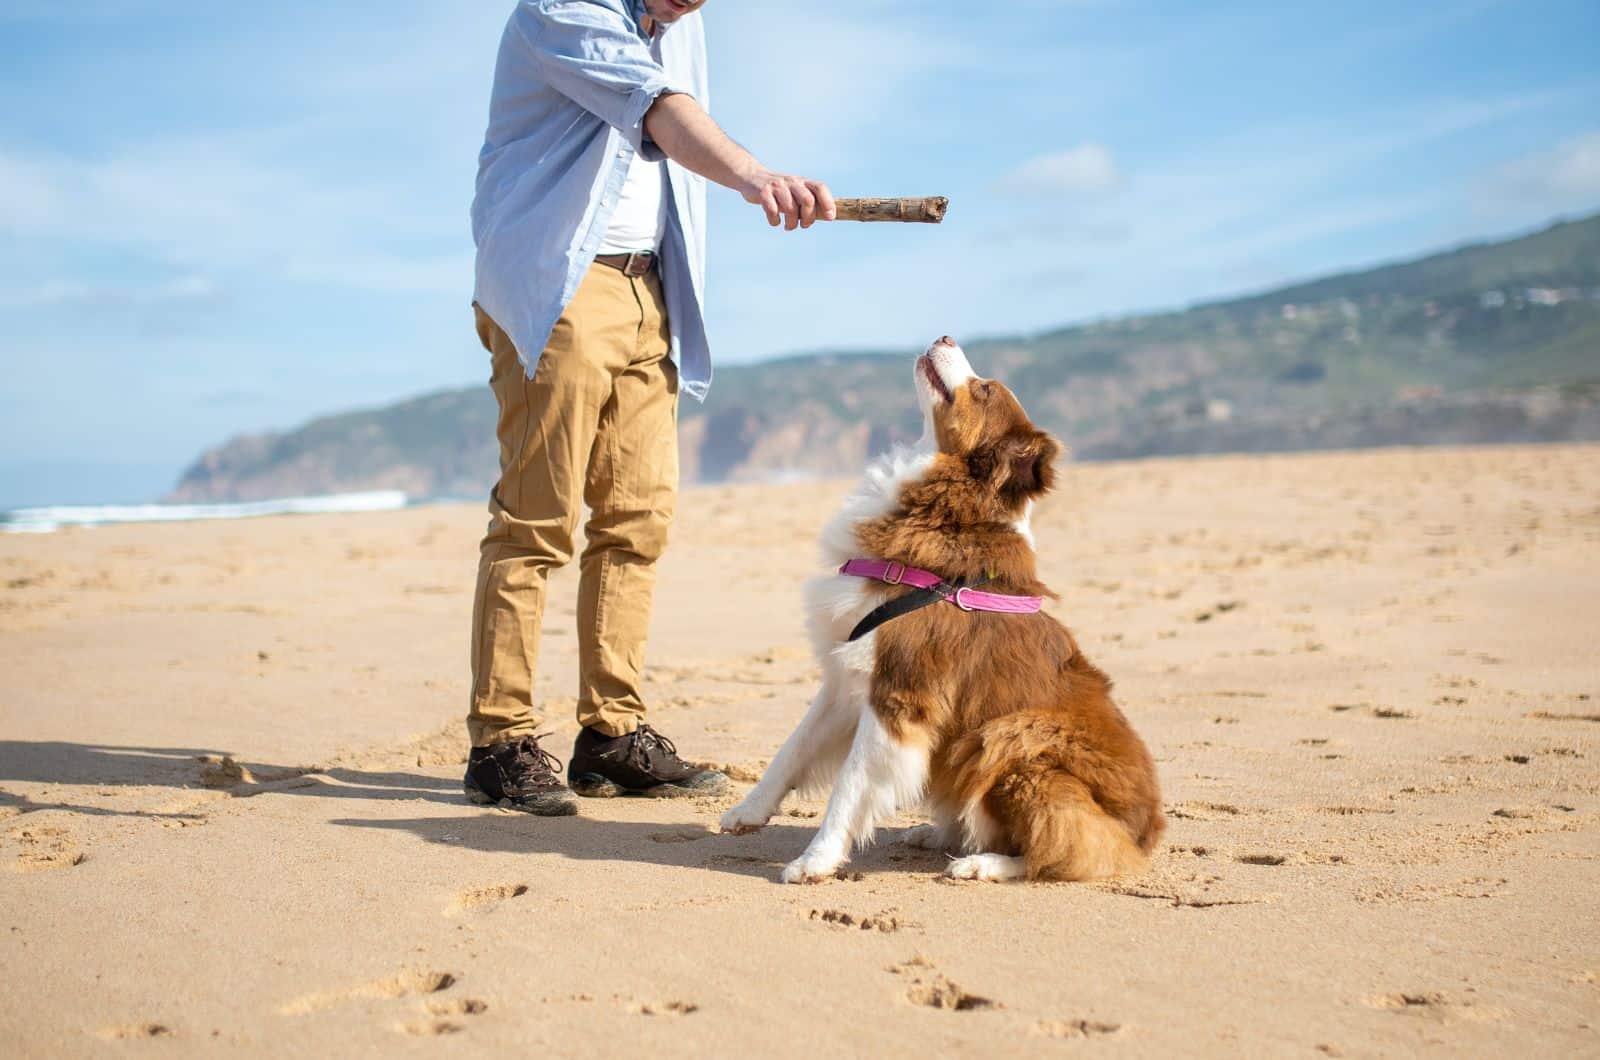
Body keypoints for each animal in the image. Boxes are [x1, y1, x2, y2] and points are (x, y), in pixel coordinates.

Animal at [723, 337, 1164, 877]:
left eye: (985, 389)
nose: (946, 337)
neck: (946, 516)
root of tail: (1146, 833)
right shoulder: (847, 678)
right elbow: (792, 749)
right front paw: (748, 811)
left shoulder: (900, 692)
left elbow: (849, 785)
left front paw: (816, 859)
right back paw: (932, 835)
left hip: (1011, 735)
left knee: (1071, 848)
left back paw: (983, 864)